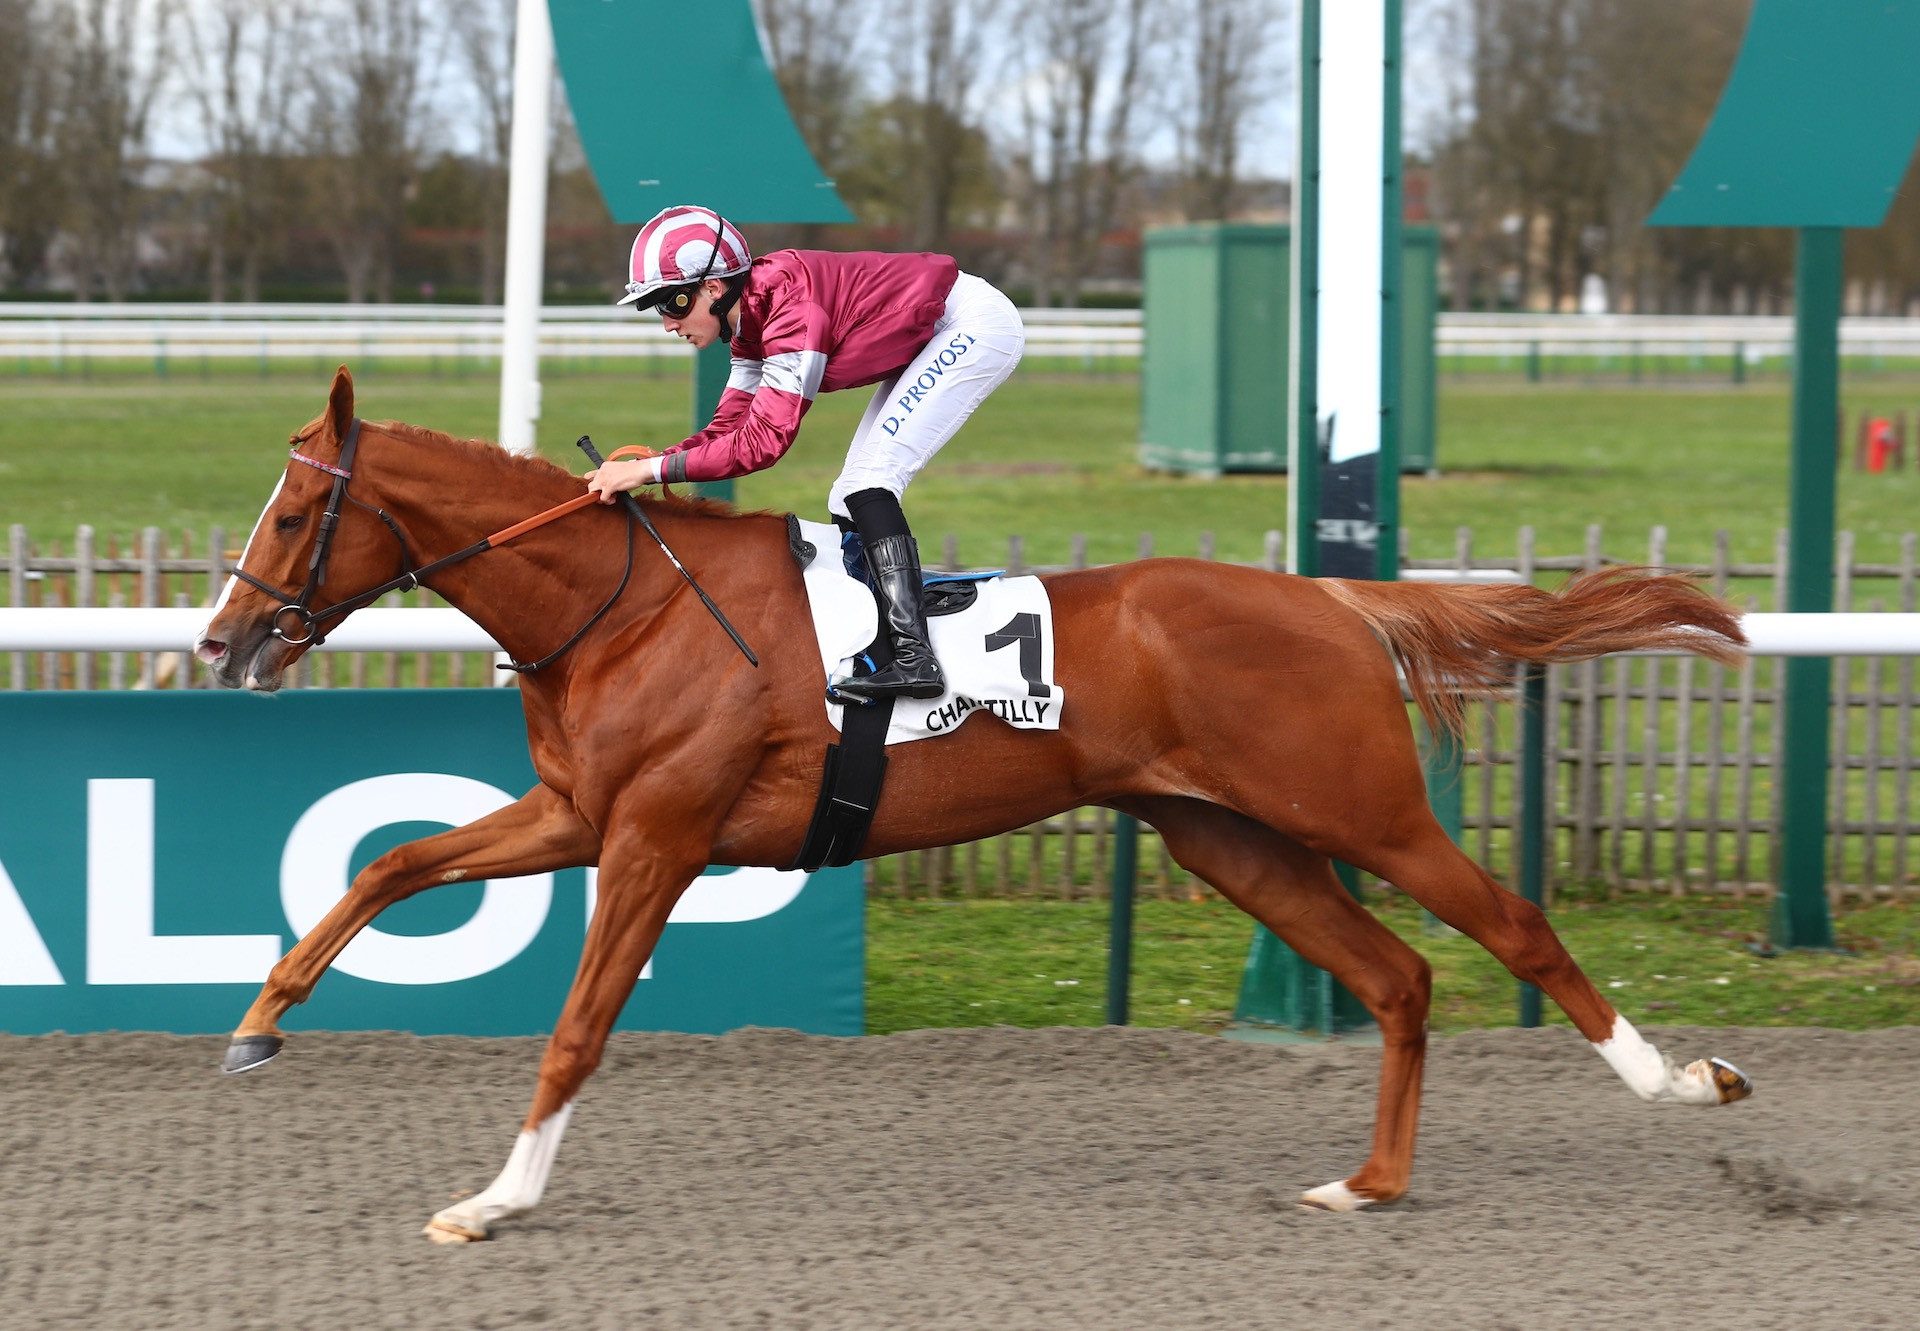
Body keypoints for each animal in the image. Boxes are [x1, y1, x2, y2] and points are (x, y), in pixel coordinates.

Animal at [198, 368, 1758, 1244]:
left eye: (295, 512)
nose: (222, 642)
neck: (624, 602)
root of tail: (1333, 593)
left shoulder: (658, 836)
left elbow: (578, 1027)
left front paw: (498, 1199)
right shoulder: (582, 811)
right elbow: (394, 864)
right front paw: (259, 1021)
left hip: (1361, 810)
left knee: (1513, 925)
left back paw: (1681, 1080)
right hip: (1231, 836)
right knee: (1398, 974)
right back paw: (1368, 1182)